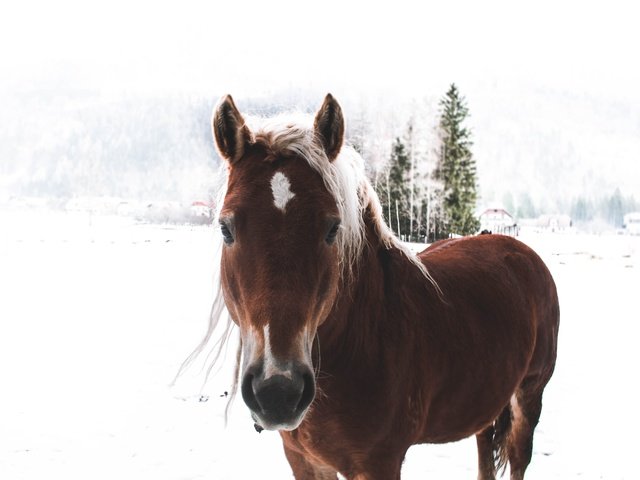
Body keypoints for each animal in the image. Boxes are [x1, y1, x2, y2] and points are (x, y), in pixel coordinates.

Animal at [198, 94, 556, 480]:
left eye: (332, 228)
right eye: (226, 228)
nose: (278, 392)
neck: (365, 338)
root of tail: (519, 250)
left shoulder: (379, 462)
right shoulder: (303, 460)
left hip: (529, 395)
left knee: (518, 458)